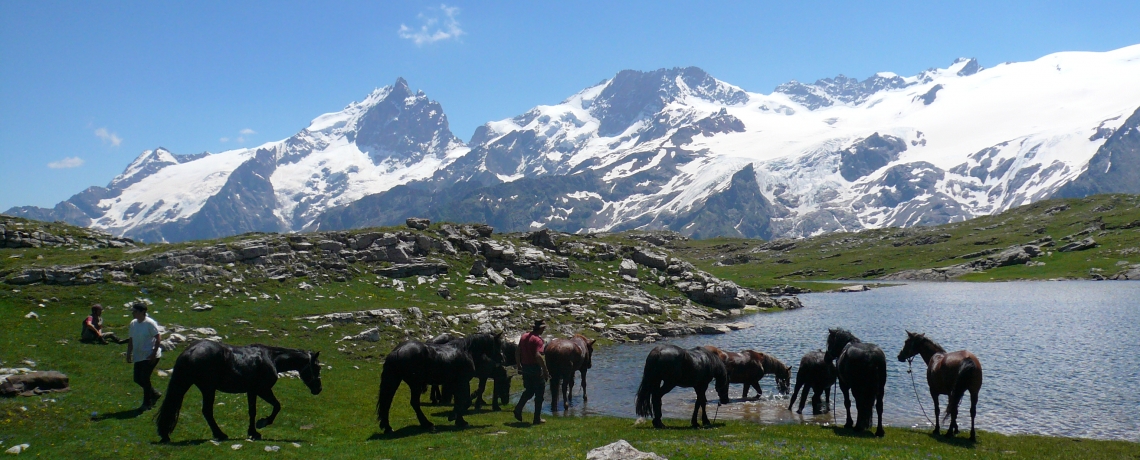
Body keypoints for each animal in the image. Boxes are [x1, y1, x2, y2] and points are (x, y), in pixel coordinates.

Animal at [151, 341, 321, 441]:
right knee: (207, 411)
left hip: (187, 384)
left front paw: (253, 432)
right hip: (208, 388)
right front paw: (262, 423)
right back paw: (220, 434)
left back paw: (165, 433)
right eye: (317, 367)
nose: (319, 389)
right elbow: (277, 406)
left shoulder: (252, 391)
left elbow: (252, 411)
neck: (271, 358)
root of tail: (190, 351)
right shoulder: (263, 389)